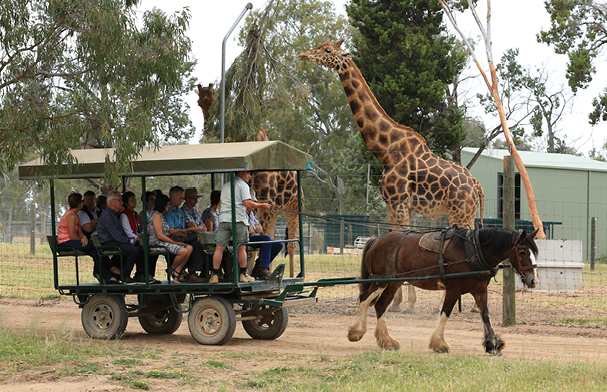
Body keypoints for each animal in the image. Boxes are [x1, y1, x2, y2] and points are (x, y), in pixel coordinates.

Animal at [302, 39, 486, 312]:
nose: (304, 54)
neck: (386, 150)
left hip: (459, 212)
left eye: (327, 50)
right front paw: (399, 301)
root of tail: (476, 184)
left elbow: (402, 240)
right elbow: (396, 238)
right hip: (467, 213)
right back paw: (469, 303)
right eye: (321, 45)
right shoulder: (393, 204)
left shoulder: (399, 202)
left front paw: (402, 303)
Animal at [350, 227, 540, 356]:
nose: (533, 281)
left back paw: (387, 342)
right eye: (522, 252)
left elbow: (486, 317)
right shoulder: (454, 289)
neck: (474, 251)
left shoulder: (480, 291)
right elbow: (445, 314)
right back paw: (356, 332)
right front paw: (439, 344)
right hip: (380, 281)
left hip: (393, 284)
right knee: (364, 300)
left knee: (380, 306)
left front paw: (493, 345)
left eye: (535, 252)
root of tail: (377, 239)